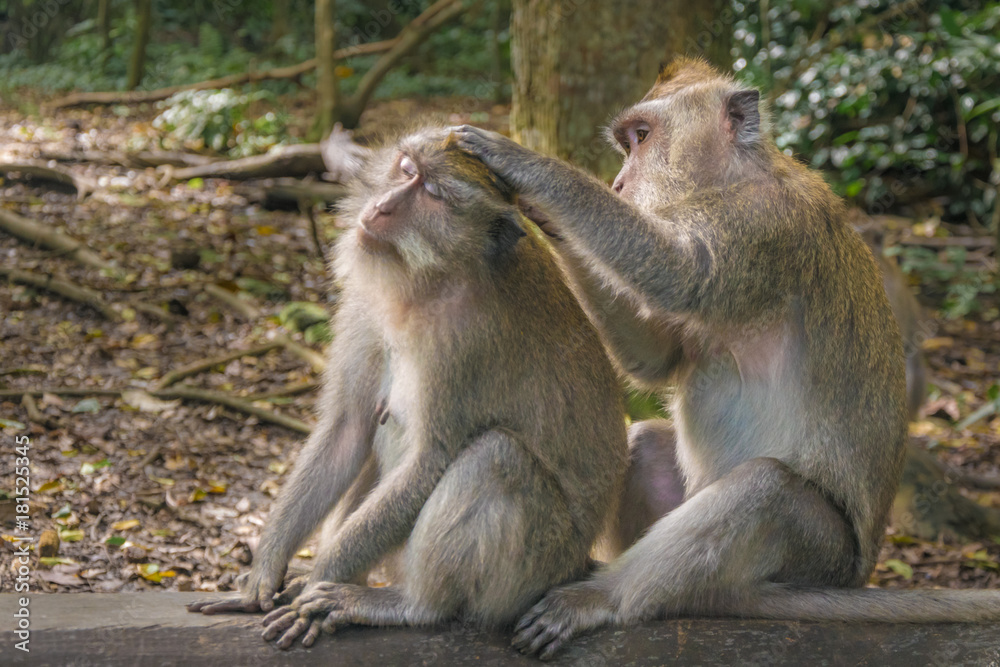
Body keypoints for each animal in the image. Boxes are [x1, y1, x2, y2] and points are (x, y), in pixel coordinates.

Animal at [187, 128, 624, 648]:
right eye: (407, 169)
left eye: (433, 194)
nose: (381, 208)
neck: (428, 281)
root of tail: (575, 564)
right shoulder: (366, 305)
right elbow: (347, 429)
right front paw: (265, 575)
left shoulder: (466, 345)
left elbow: (429, 460)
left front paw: (315, 587)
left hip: (534, 569)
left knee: (495, 458)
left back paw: (407, 604)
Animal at [454, 58, 1000, 664]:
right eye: (627, 142)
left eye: (641, 136)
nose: (618, 184)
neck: (732, 182)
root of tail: (855, 575)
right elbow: (658, 358)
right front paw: (539, 213)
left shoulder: (764, 228)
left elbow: (682, 273)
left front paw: (526, 166)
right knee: (647, 445)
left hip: (819, 558)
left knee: (766, 490)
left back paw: (603, 598)